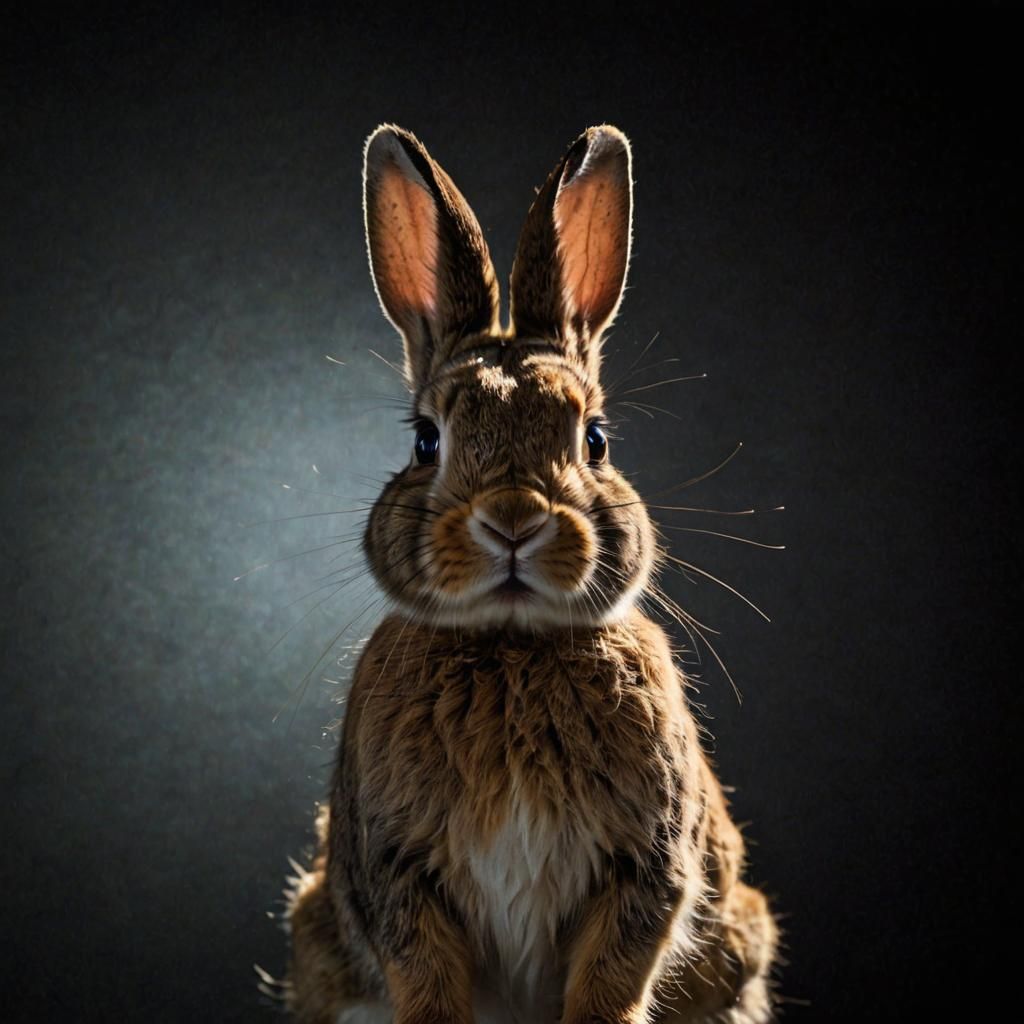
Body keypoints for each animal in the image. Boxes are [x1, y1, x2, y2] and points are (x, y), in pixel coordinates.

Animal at [283, 123, 778, 1024]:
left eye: (596, 440)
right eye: (426, 441)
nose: (513, 519)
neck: (511, 645)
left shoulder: (645, 869)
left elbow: (612, 979)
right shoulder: (397, 874)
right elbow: (427, 979)